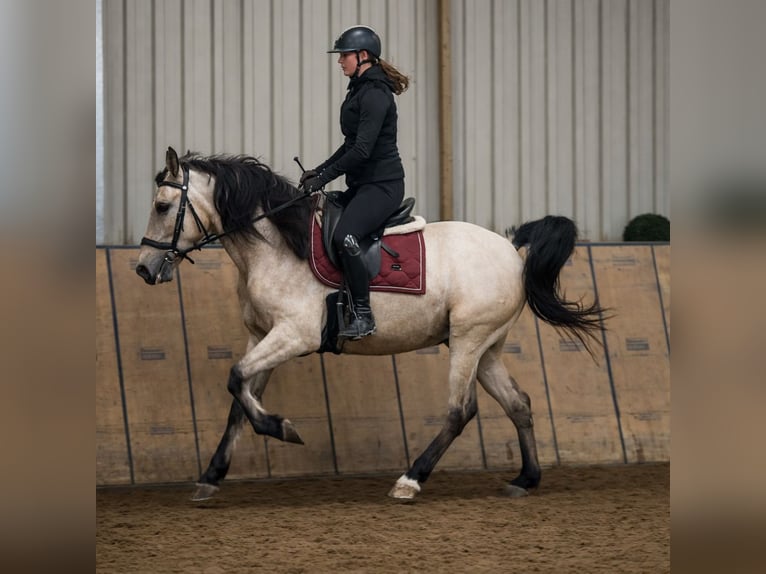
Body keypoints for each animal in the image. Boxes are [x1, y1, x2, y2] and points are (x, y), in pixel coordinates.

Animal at [136, 147, 606, 501]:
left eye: (162, 206)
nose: (144, 268)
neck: (277, 246)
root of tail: (510, 247)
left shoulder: (293, 336)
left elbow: (235, 379)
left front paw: (282, 429)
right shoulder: (262, 336)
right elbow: (240, 400)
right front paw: (211, 476)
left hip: (468, 341)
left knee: (460, 411)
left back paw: (410, 480)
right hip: (485, 347)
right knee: (518, 404)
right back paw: (525, 479)